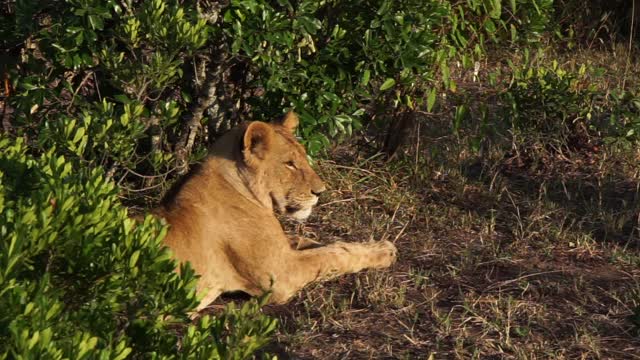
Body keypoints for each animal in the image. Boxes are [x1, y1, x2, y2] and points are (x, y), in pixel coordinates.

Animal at [158, 111, 398, 310]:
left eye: (304, 157)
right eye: (289, 163)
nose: (320, 192)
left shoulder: (281, 248)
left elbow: (323, 245)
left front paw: (375, 247)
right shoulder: (281, 275)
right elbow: (332, 256)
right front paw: (384, 252)